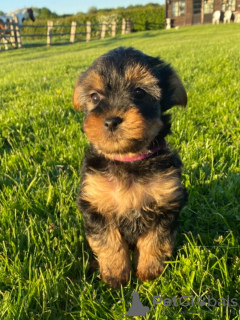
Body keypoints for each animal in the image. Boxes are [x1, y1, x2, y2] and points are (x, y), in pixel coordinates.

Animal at [73, 47, 188, 290]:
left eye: (139, 92)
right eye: (94, 97)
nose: (111, 120)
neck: (128, 159)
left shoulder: (166, 203)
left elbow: (155, 240)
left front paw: (148, 273)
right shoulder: (95, 204)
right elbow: (108, 241)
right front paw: (116, 276)